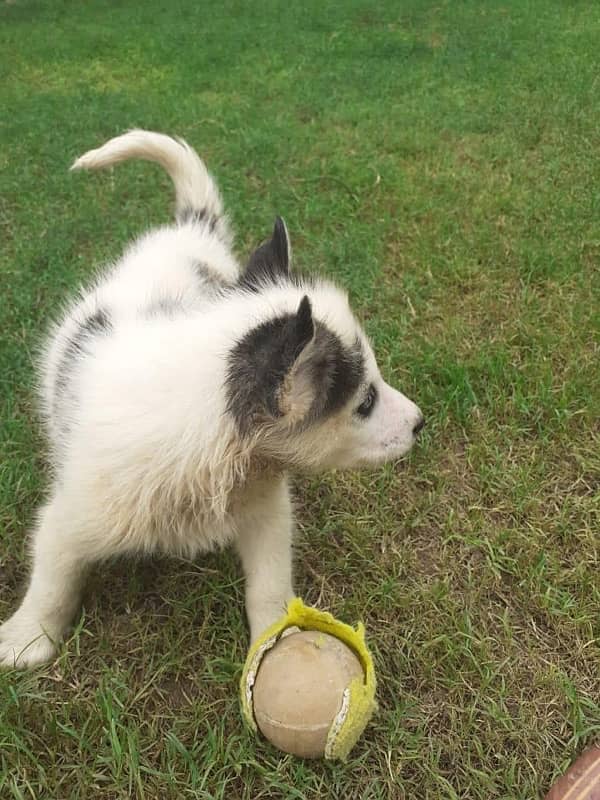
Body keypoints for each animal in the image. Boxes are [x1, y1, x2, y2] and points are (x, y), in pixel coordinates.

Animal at [0, 133, 424, 668]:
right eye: (365, 401)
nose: (420, 421)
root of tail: (187, 233)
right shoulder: (72, 514)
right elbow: (52, 578)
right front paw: (26, 639)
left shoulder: (266, 508)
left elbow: (269, 582)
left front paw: (276, 637)